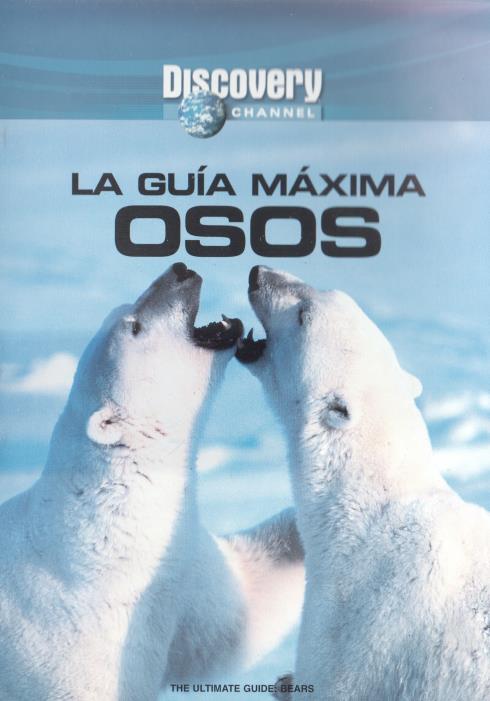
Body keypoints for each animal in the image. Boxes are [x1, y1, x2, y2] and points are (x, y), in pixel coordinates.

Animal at [0, 263, 304, 701]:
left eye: (126, 308)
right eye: (135, 326)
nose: (181, 269)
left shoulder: (179, 570)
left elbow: (247, 599)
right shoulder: (70, 638)